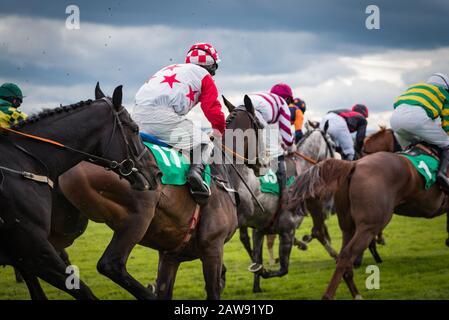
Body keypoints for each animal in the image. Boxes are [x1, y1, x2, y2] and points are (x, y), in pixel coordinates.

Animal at [0, 85, 151, 300]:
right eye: (135, 128)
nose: (156, 171)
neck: (25, 162)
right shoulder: (34, 249)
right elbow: (83, 290)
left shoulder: (22, 253)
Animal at [288, 142, 448, 298]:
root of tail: (353, 164)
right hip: (369, 226)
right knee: (346, 254)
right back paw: (329, 294)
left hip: (348, 226)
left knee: (340, 253)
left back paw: (356, 293)